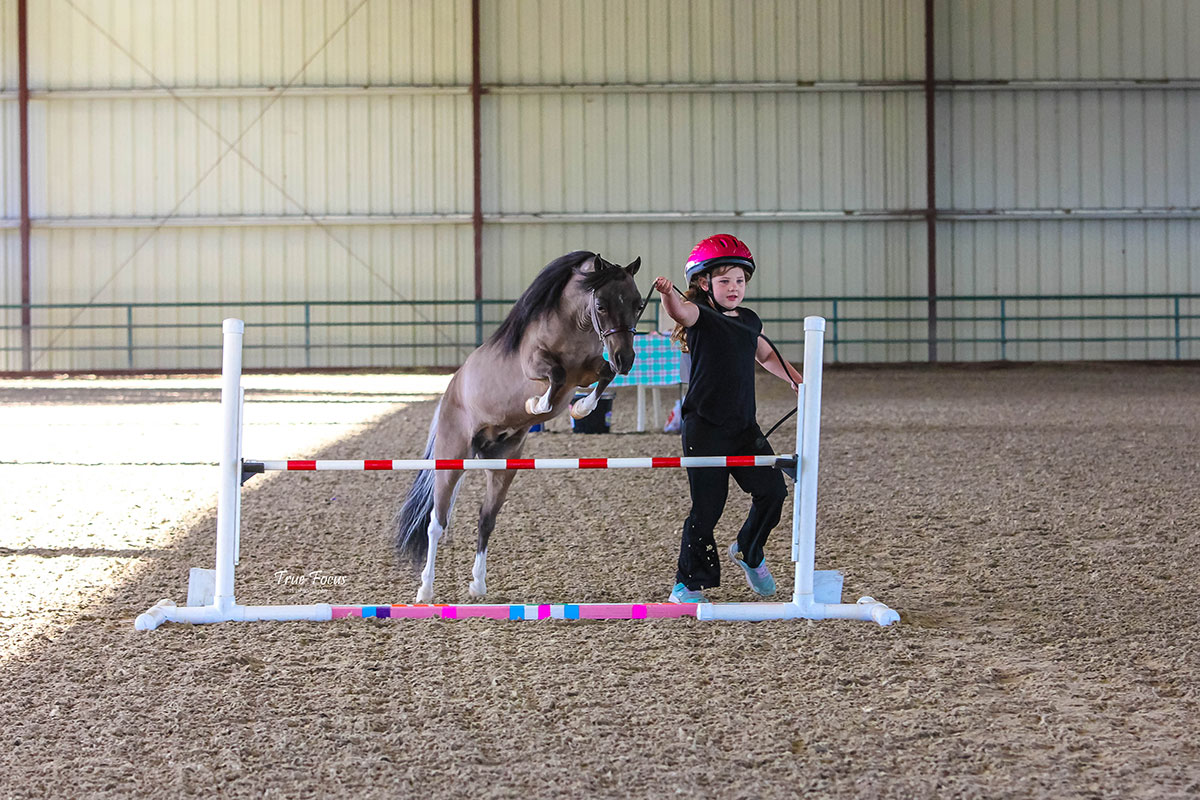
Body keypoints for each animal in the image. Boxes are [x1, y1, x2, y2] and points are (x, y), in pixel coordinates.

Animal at [392, 251, 644, 602]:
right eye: (601, 305)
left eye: (638, 303)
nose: (627, 359)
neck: (572, 327)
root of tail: (449, 393)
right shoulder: (537, 366)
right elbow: (556, 377)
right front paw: (535, 405)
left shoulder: (587, 371)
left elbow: (603, 374)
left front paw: (581, 408)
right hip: (451, 461)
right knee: (436, 523)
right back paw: (425, 590)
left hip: (502, 466)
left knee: (486, 519)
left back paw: (478, 584)